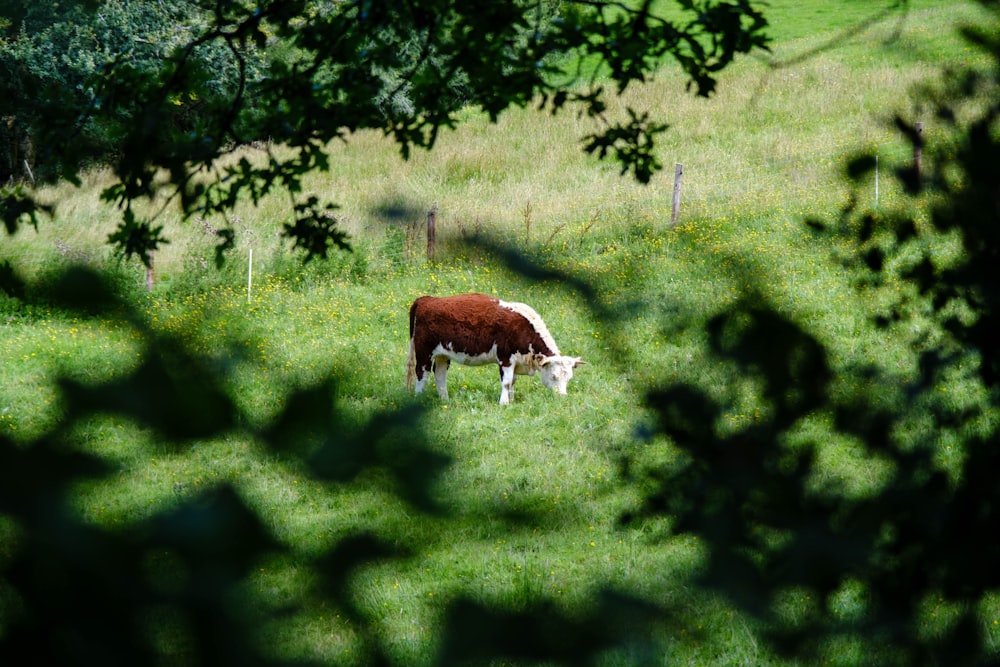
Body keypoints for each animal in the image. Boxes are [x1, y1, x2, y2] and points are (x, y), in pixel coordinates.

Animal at [402, 294, 584, 408]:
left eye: (569, 378)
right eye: (554, 376)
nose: (562, 396)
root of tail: (428, 300)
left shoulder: (515, 363)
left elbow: (513, 382)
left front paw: (511, 400)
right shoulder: (506, 358)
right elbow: (507, 382)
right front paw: (503, 403)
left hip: (442, 354)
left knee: (439, 375)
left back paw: (445, 400)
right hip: (424, 351)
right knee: (422, 373)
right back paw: (419, 397)